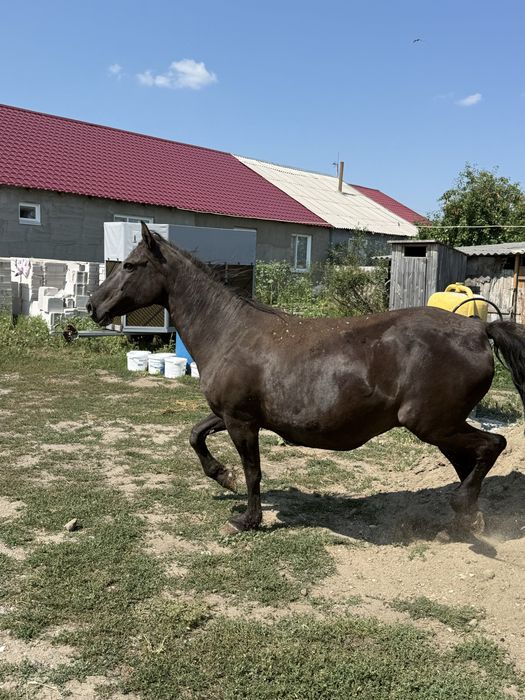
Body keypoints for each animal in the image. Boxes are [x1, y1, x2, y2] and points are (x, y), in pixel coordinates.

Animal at [87, 222, 525, 535]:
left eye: (130, 265)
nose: (92, 305)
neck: (229, 331)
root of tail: (478, 330)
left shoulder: (241, 421)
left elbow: (253, 471)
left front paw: (247, 519)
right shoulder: (231, 414)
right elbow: (196, 436)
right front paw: (223, 478)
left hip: (433, 424)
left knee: (492, 446)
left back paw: (463, 508)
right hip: (442, 427)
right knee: (470, 461)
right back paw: (467, 519)